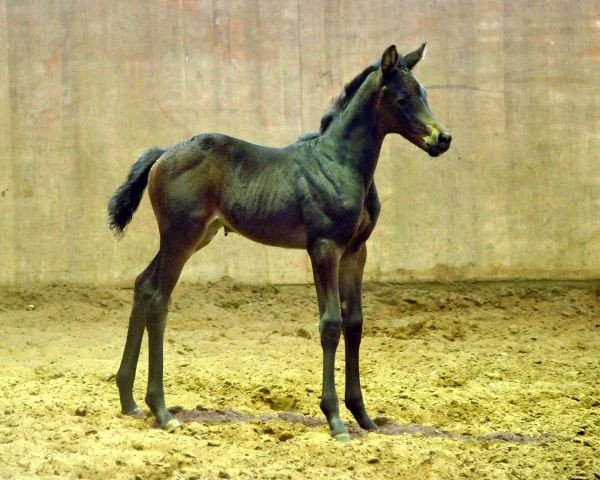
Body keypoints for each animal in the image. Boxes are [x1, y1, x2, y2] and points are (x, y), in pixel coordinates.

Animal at [110, 43, 452, 440]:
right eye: (401, 98)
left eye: (424, 93)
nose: (442, 138)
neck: (340, 163)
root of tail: (163, 154)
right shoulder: (323, 247)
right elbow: (331, 324)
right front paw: (335, 420)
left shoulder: (356, 251)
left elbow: (355, 323)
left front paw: (363, 417)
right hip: (181, 235)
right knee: (157, 298)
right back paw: (161, 411)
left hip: (195, 237)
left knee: (142, 285)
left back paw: (129, 401)